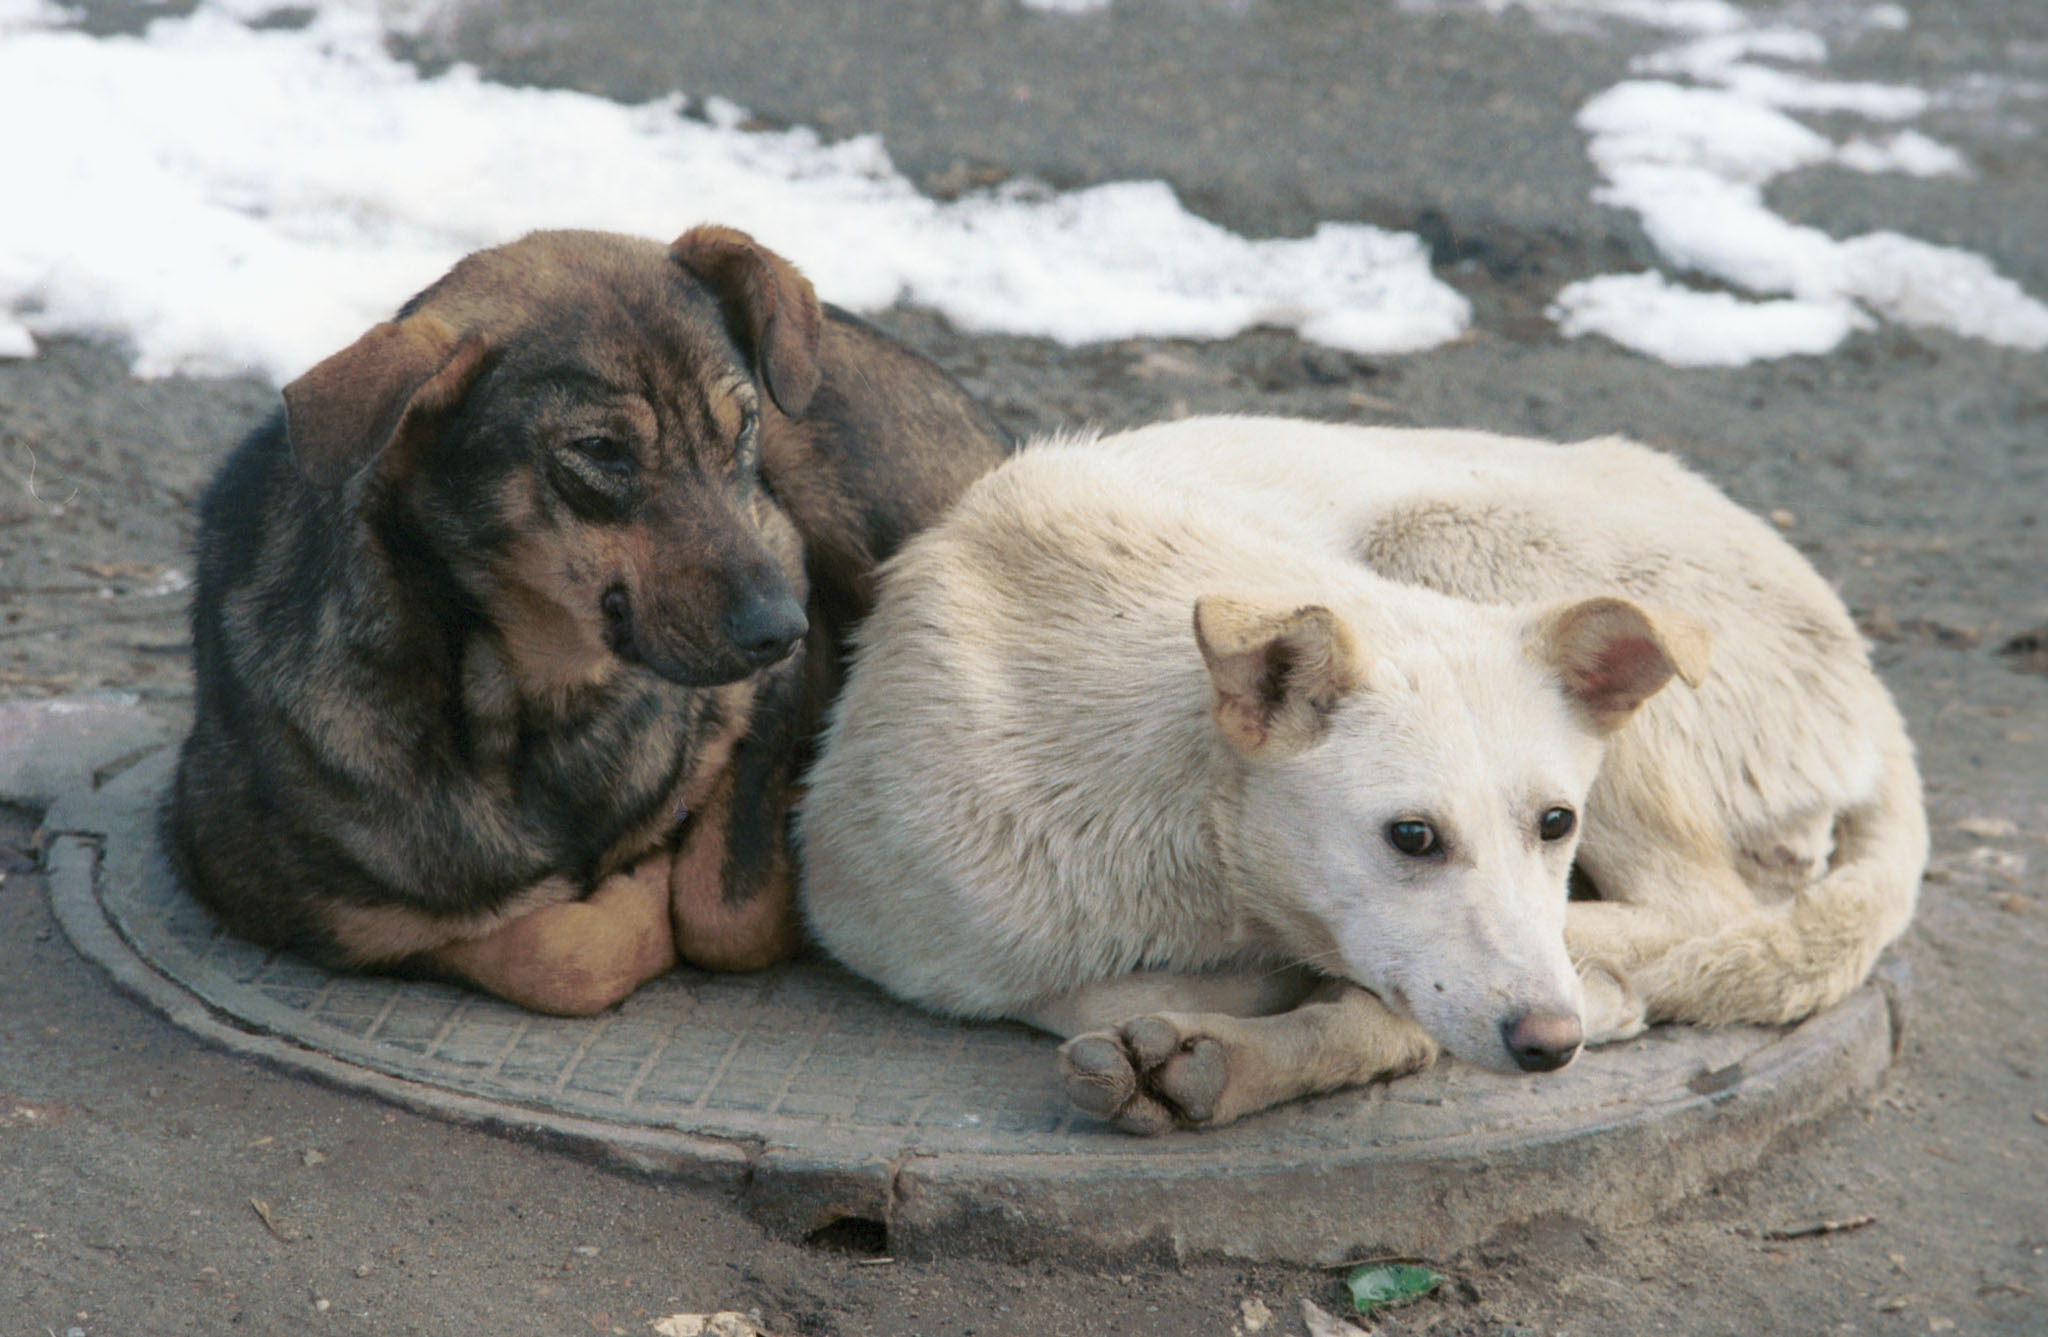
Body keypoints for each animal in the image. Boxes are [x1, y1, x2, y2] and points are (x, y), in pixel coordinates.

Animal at [163, 224, 1011, 1011]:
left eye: (742, 426)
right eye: (600, 449)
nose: (779, 628)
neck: (539, 705)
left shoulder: (779, 595)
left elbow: (725, 910)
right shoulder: (300, 901)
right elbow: (559, 952)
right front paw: (636, 885)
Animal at [794, 413, 1916, 1130]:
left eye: (1556, 823)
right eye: (1412, 836)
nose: (1547, 1042)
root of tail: (1872, 677)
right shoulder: (895, 935)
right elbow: (1078, 988)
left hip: (1453, 532)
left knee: (1705, 905)